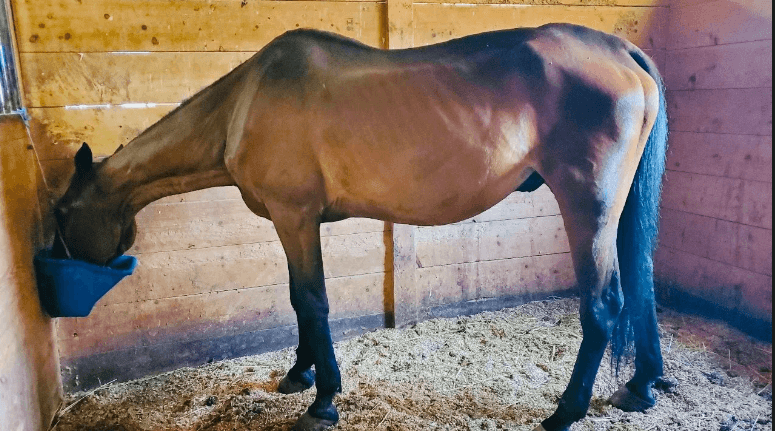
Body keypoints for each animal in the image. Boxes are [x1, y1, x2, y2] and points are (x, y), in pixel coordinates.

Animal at [52, 23, 668, 431]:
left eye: (60, 213)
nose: (60, 279)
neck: (241, 106)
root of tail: (620, 49)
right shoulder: (295, 222)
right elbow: (299, 301)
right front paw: (298, 375)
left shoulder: (294, 216)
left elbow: (313, 300)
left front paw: (322, 401)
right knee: (641, 288)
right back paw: (640, 387)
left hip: (588, 208)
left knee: (604, 305)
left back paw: (564, 412)